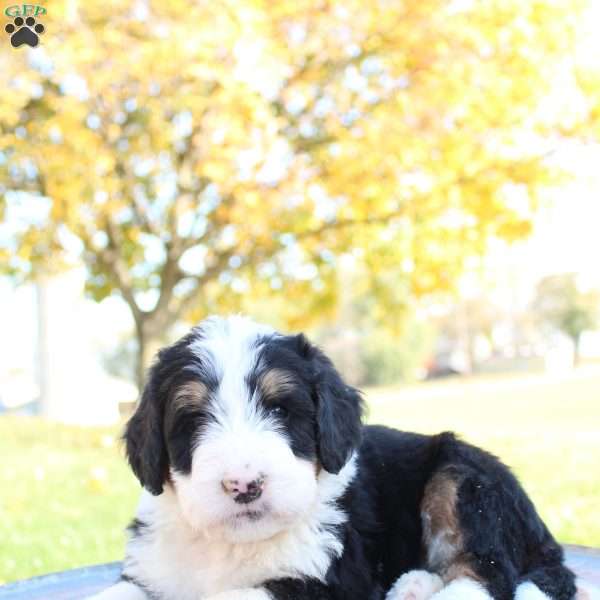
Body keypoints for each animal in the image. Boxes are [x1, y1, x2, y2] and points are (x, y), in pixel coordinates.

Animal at [90, 316, 580, 596]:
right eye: (193, 419)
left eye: (280, 410)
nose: (244, 485)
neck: (230, 545)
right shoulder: (151, 569)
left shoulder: (328, 579)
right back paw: (414, 585)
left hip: (462, 477)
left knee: (489, 572)